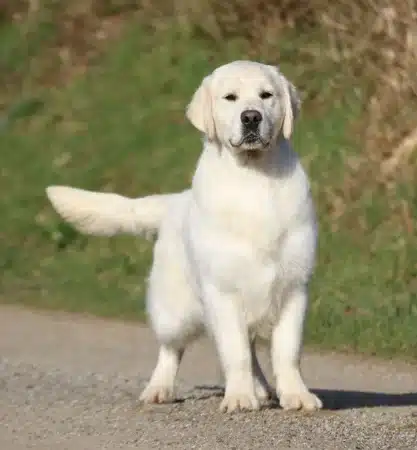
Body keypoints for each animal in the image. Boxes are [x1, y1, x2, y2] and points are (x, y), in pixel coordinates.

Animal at [48, 61, 322, 414]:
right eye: (230, 97)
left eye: (266, 95)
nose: (251, 117)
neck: (254, 177)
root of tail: (173, 201)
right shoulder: (223, 290)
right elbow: (235, 352)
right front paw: (239, 397)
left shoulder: (294, 288)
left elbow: (286, 352)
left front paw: (296, 395)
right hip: (174, 310)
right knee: (171, 350)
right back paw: (160, 389)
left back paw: (262, 390)